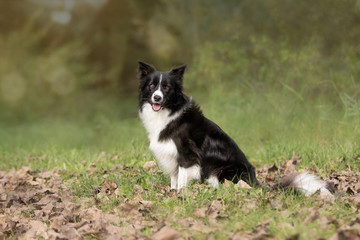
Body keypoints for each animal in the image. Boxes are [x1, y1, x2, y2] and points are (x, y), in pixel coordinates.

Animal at [139, 60, 332, 197]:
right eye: (151, 86)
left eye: (167, 87)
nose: (157, 98)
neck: (168, 111)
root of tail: (256, 183)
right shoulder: (171, 155)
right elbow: (174, 178)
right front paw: (172, 193)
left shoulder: (186, 155)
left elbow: (181, 180)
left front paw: (180, 195)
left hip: (221, 172)